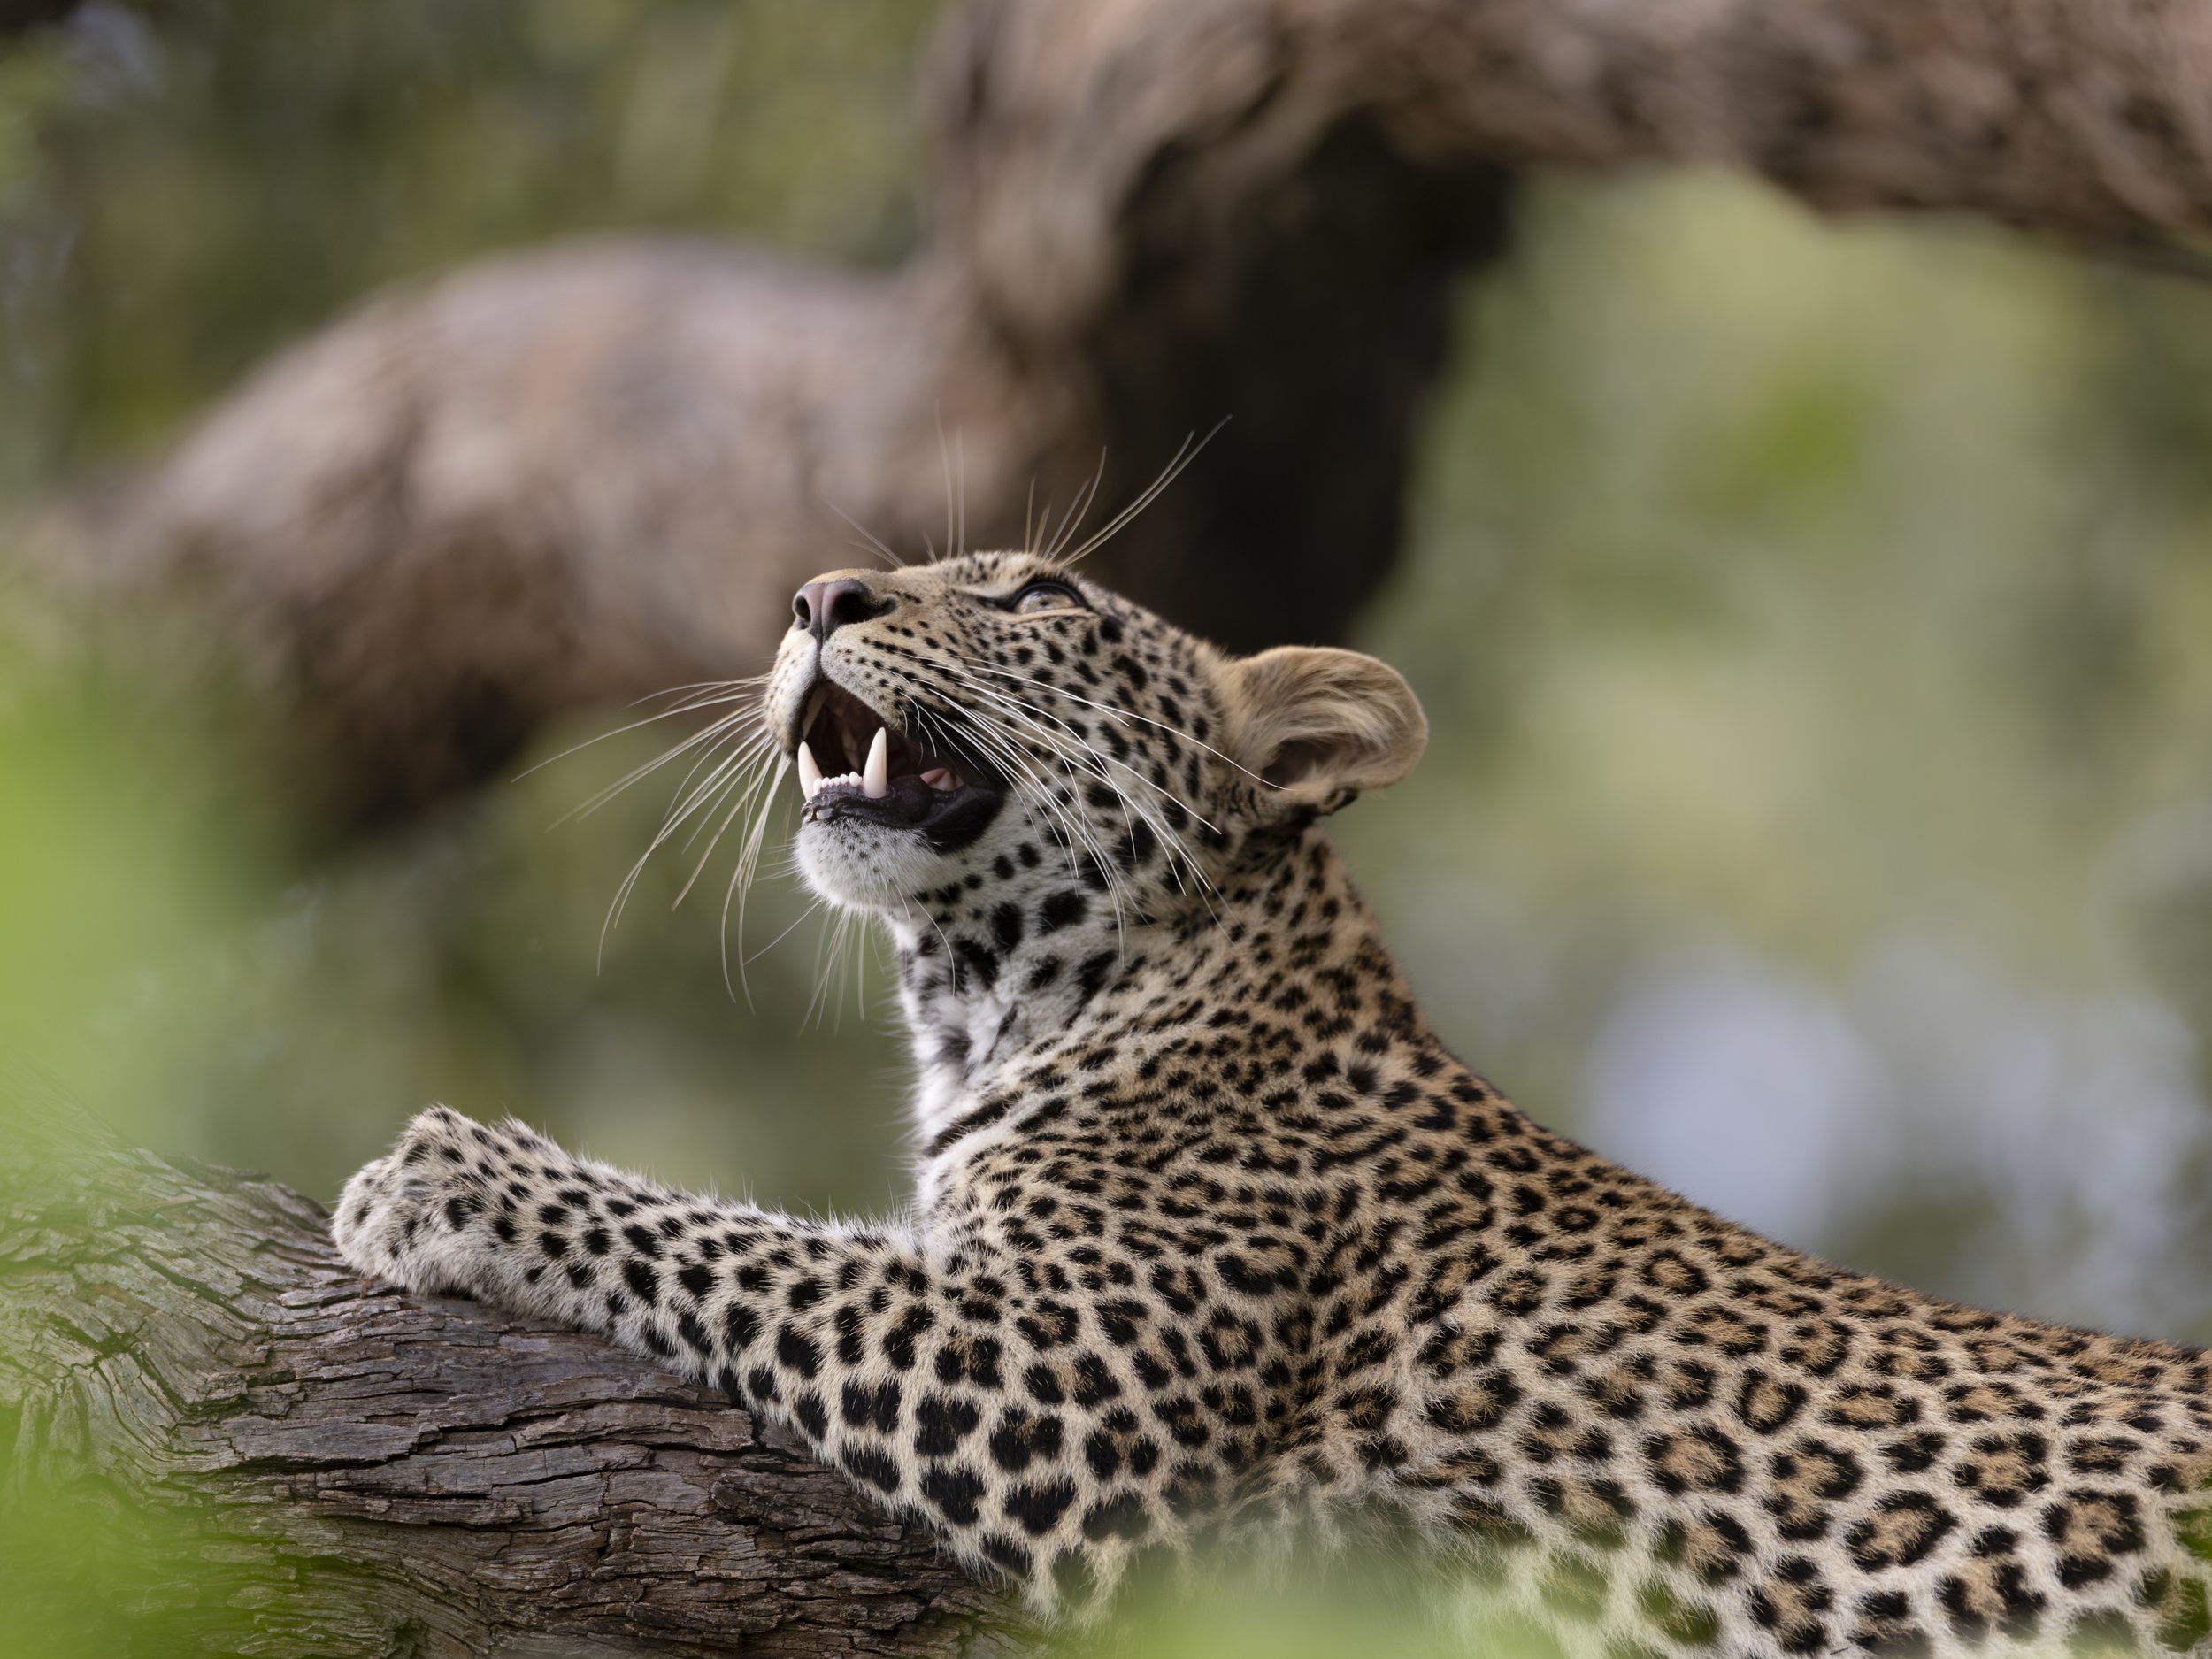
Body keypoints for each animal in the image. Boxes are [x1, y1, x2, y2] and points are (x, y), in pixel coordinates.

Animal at [335, 550, 2212, 1656]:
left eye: (1035, 590)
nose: (816, 594)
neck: (991, 1007)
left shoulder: (1067, 1379)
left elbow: (753, 1243)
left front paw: (451, 1177)